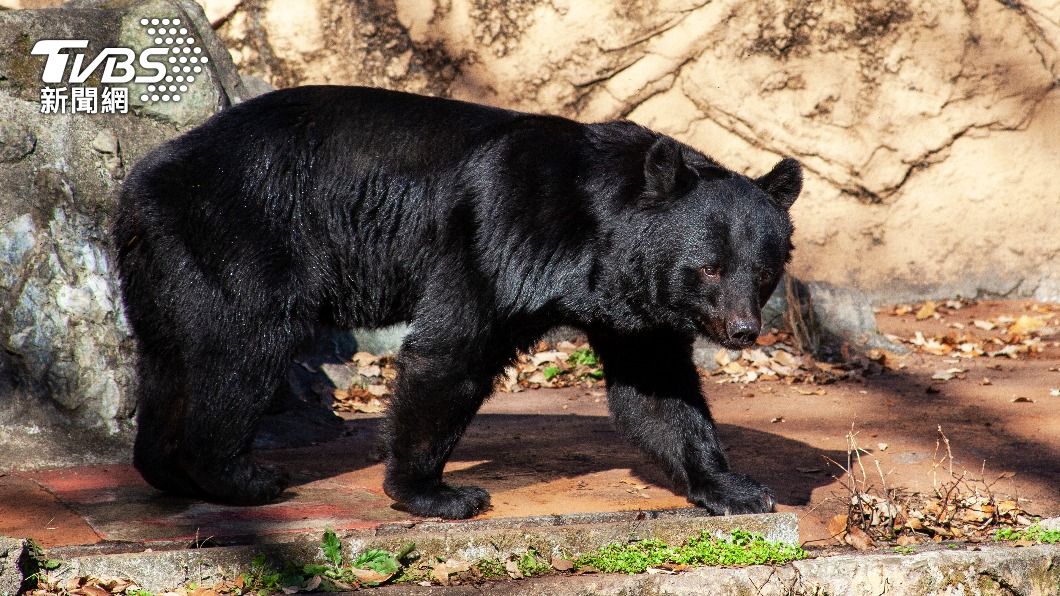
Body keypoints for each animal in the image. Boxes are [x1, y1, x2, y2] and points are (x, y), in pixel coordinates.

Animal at [114, 85, 801, 519]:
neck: (592, 231)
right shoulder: (499, 233)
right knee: (242, 345)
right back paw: (240, 477)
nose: (743, 330)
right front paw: (436, 494)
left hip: (166, 256)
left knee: (170, 356)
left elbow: (657, 388)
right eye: (708, 268)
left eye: (765, 271)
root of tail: (144, 174)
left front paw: (739, 487)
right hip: (242, 229)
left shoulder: (633, 302)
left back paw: (166, 468)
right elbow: (453, 350)